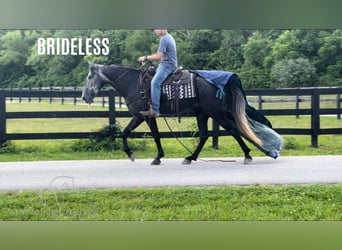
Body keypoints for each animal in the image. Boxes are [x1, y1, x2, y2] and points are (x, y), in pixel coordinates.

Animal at [83, 62, 280, 164]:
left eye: (89, 77)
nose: (85, 96)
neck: (134, 84)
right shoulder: (146, 117)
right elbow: (141, 134)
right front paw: (152, 156)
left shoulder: (142, 116)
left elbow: (131, 133)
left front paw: (139, 155)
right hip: (203, 114)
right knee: (204, 135)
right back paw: (190, 157)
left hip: (217, 114)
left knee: (234, 130)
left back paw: (247, 155)